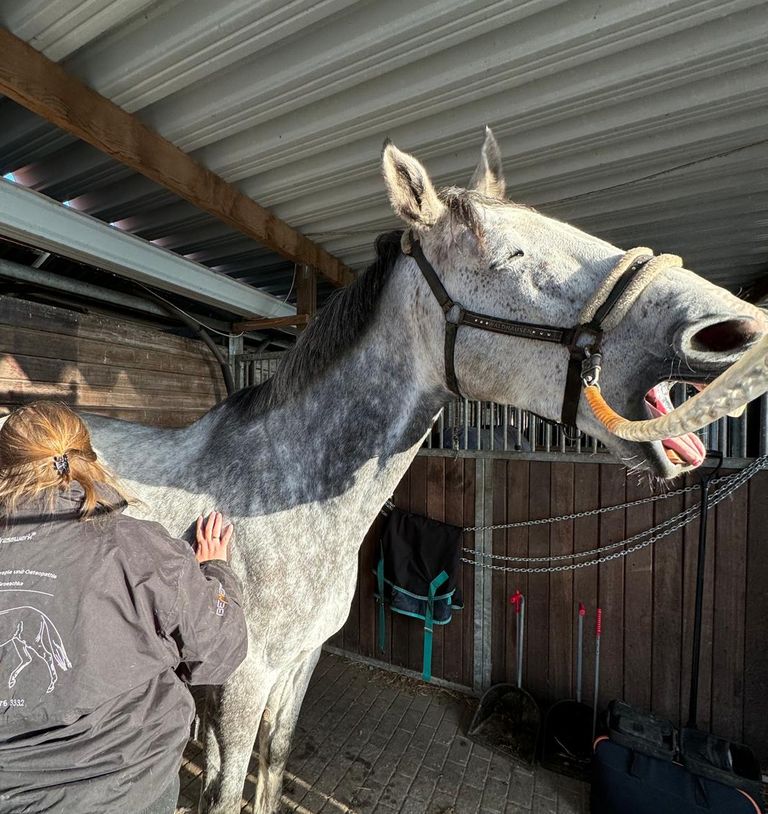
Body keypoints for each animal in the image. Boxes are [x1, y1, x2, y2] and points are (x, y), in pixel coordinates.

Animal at [63, 129, 766, 811]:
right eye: (508, 256)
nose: (734, 329)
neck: (276, 493)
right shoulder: (244, 683)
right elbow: (226, 789)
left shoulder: (296, 666)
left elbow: (272, 768)